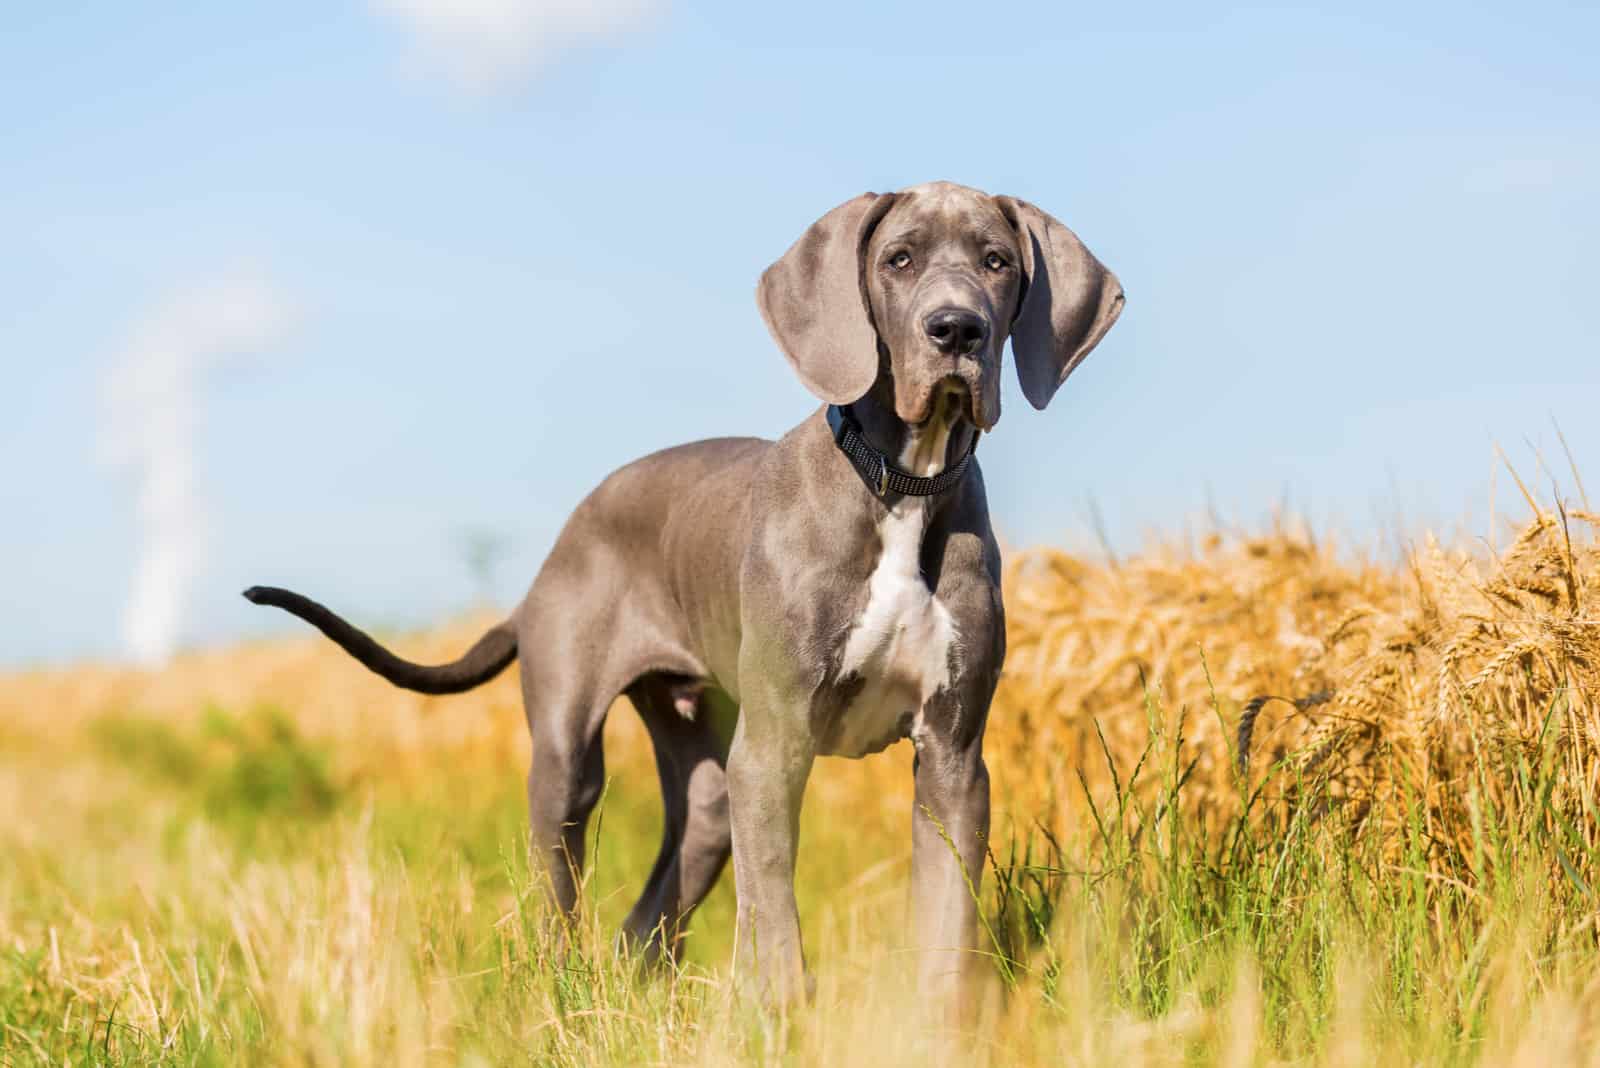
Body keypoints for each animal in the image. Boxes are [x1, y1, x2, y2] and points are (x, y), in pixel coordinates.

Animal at [246, 181, 1126, 1004]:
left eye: (997, 262)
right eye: (899, 260)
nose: (957, 330)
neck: (899, 483)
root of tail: (551, 558)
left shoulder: (953, 756)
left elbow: (945, 914)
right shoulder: (775, 746)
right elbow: (773, 910)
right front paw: (783, 1012)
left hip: (705, 782)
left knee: (649, 912)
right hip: (570, 759)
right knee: (561, 884)